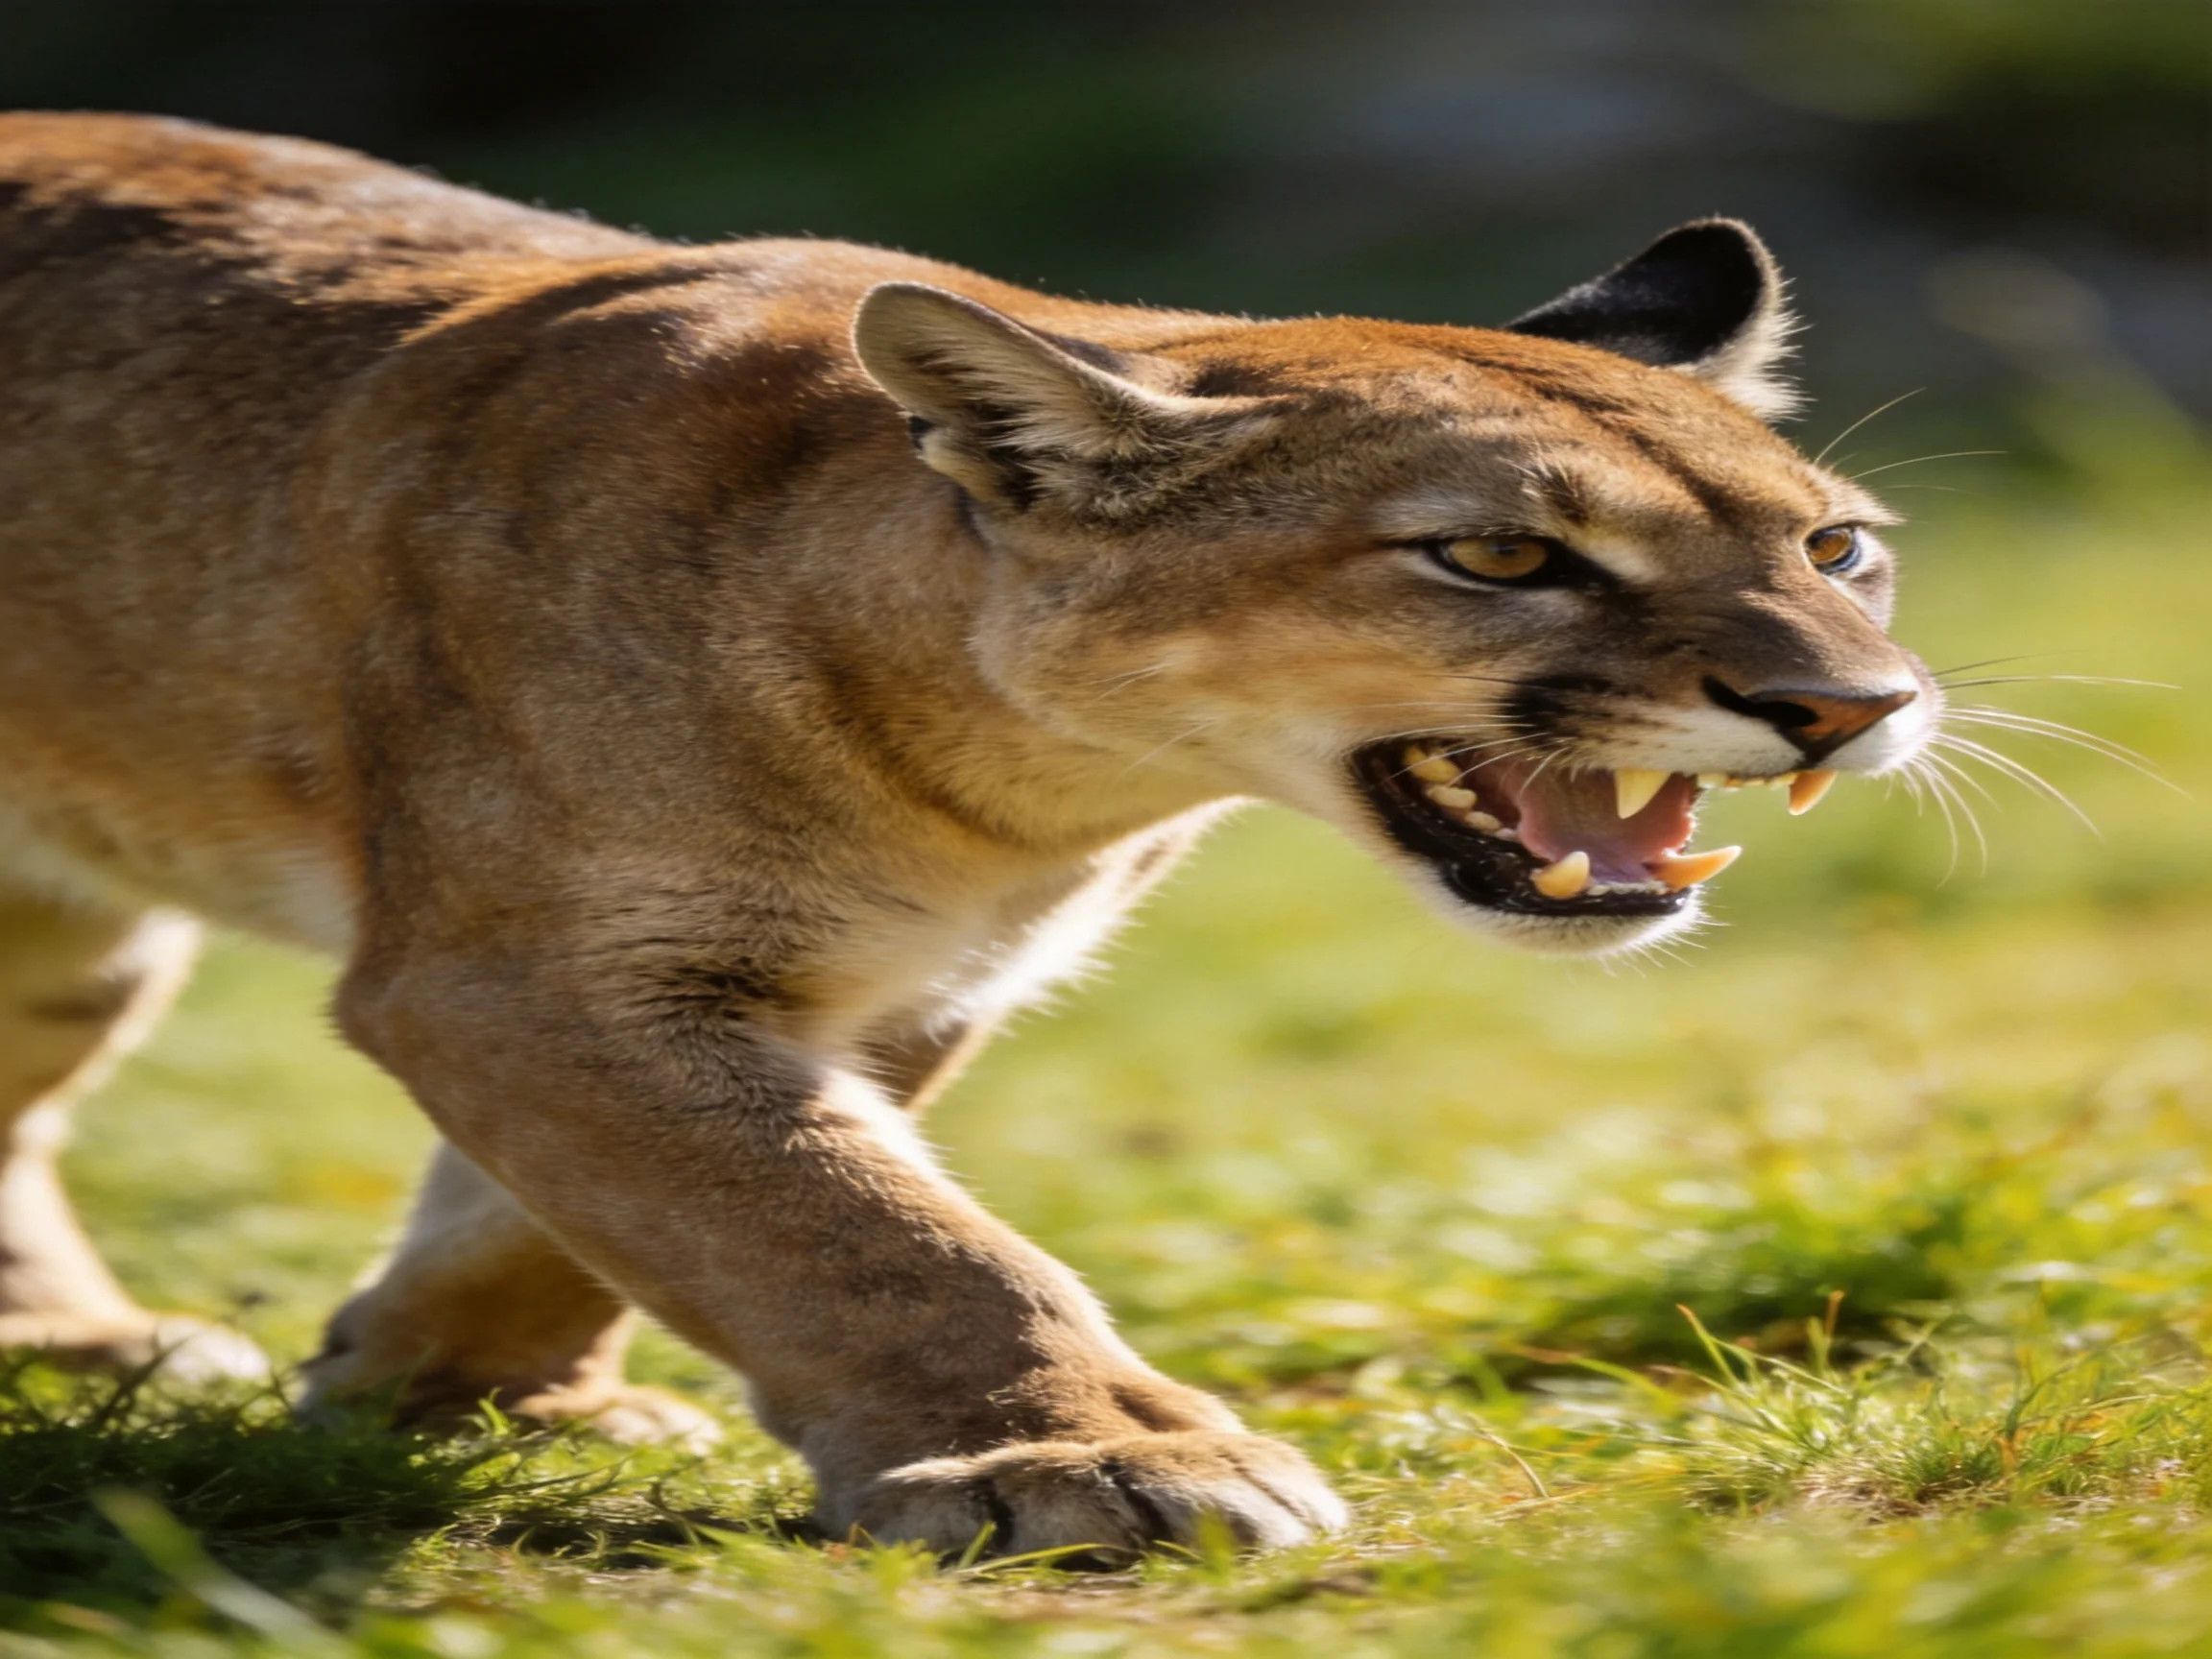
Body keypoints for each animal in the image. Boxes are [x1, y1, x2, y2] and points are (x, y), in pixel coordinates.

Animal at [0, 113, 1936, 1557]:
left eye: (1833, 545)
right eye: (1501, 555)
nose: (1852, 705)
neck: (1007, 787)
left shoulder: (878, 986)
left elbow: (595, 1218)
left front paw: (450, 1397)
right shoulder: (533, 976)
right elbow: (850, 1227)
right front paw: (1086, 1456)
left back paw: (81, 1341)